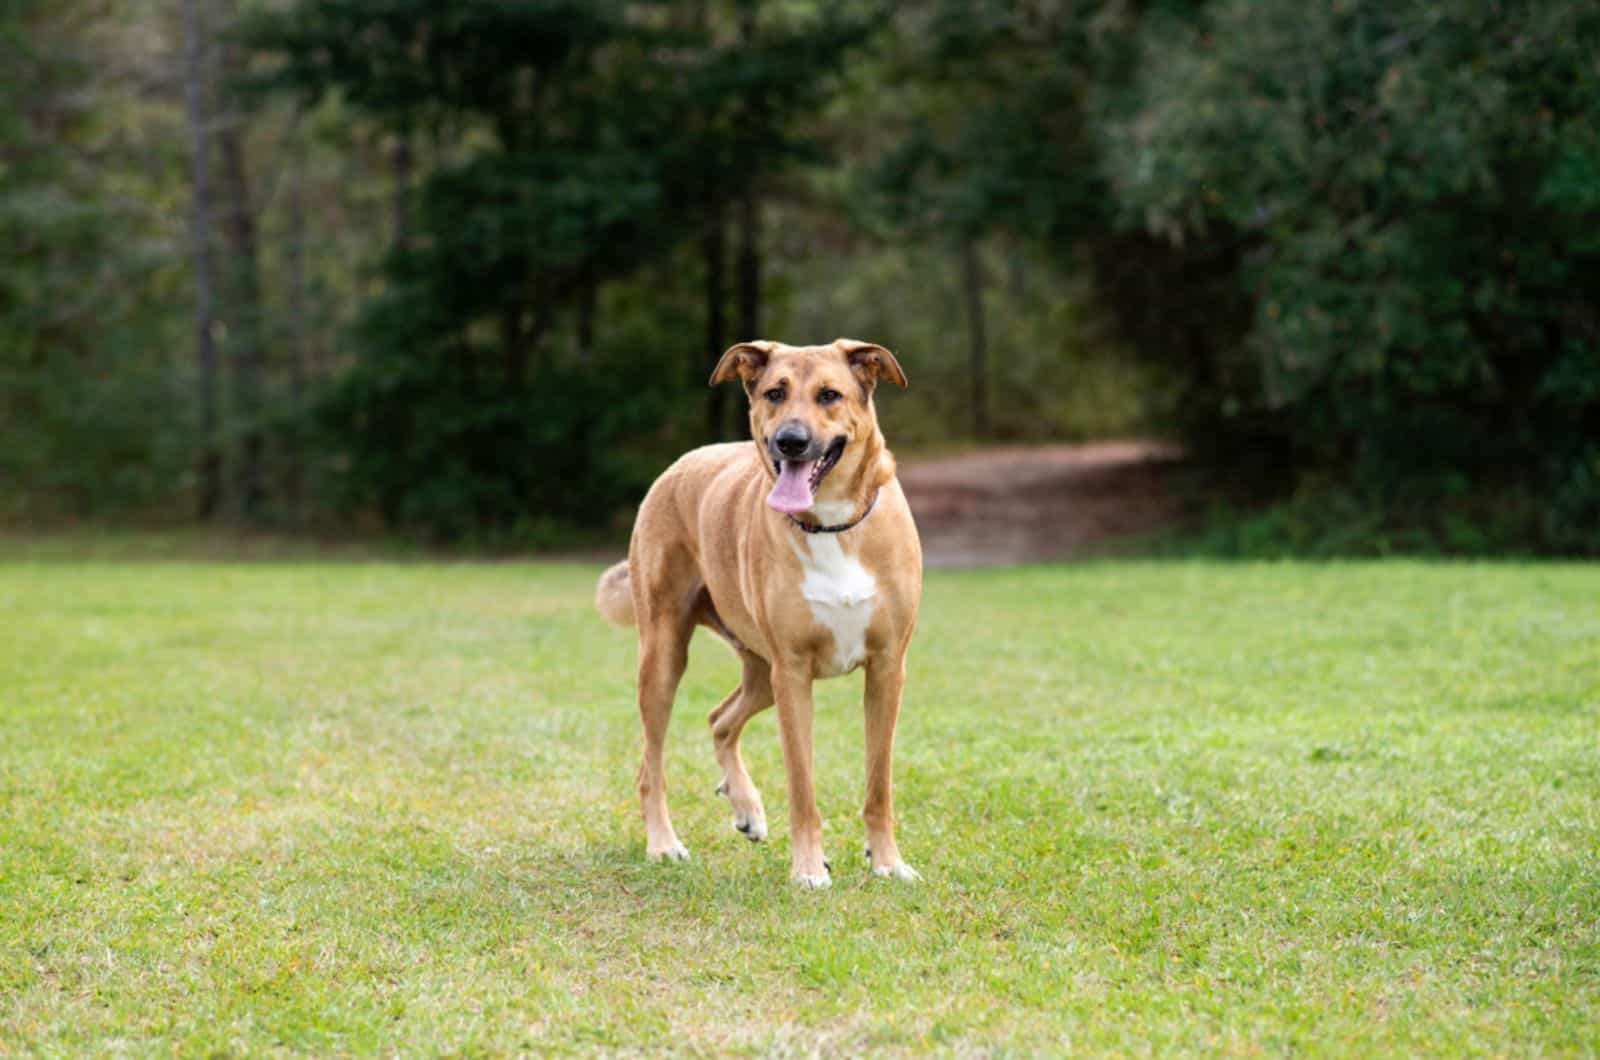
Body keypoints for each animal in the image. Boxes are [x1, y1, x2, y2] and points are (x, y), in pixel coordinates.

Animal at [598, 341, 928, 890]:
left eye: (829, 395)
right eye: (775, 393)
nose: (790, 441)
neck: (831, 525)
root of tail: (681, 462)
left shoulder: (887, 668)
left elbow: (878, 784)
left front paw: (886, 861)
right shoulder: (793, 673)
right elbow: (802, 786)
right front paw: (809, 868)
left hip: (760, 672)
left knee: (719, 719)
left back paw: (746, 807)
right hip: (668, 656)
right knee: (651, 767)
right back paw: (664, 843)